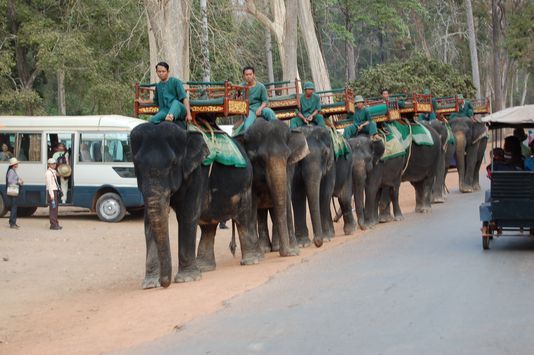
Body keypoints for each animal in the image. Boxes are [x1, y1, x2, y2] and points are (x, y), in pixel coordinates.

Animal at [132, 121, 262, 290]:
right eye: (136, 165)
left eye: (174, 163)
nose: (164, 283)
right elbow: (148, 222)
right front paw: (150, 284)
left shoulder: (197, 172)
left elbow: (187, 215)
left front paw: (186, 279)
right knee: (208, 225)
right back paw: (205, 267)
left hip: (245, 185)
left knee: (243, 218)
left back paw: (251, 261)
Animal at [238, 118, 310, 258]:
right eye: (260, 159)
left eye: (288, 156)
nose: (287, 253)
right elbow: (252, 203)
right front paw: (260, 253)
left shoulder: (289, 169)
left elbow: (285, 197)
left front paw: (294, 251)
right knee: (260, 213)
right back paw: (265, 248)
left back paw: (275, 248)